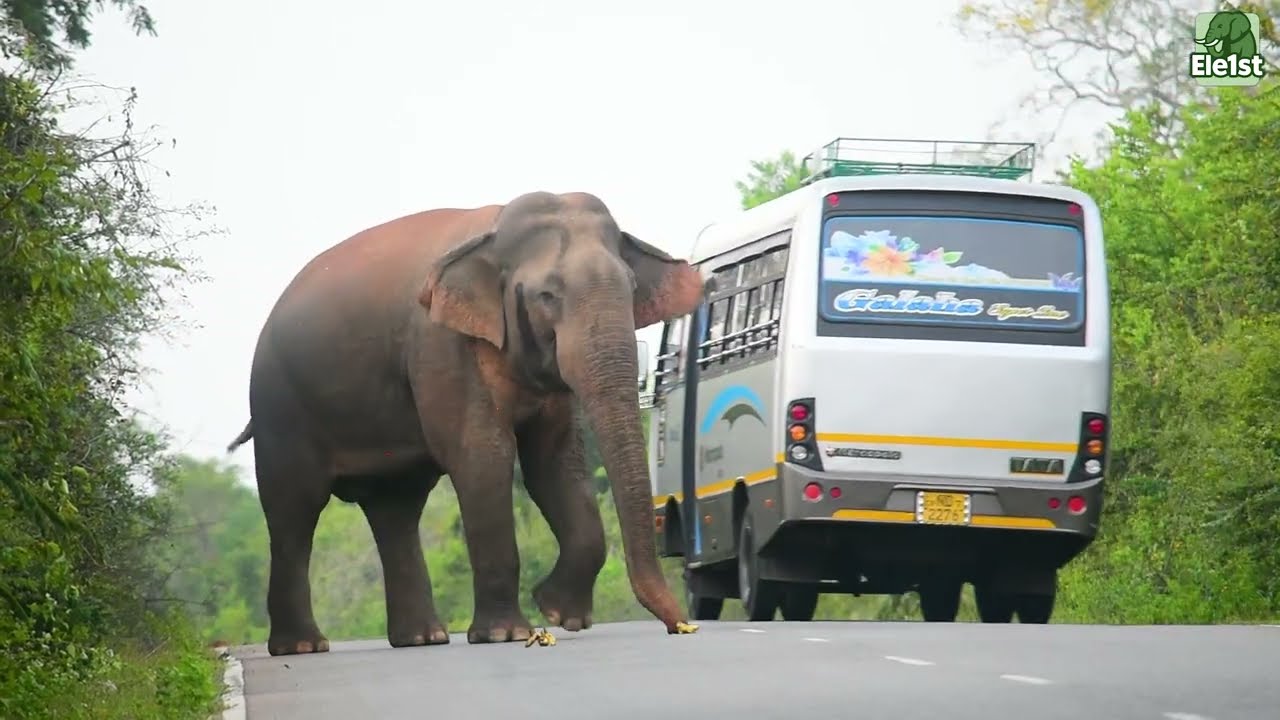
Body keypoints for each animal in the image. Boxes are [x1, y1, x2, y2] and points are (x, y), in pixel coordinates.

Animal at [225, 191, 707, 656]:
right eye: (547, 296)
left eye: (631, 287)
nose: (681, 626)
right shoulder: (444, 346)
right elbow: (483, 456)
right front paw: (507, 634)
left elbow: (552, 462)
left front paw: (558, 614)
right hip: (279, 407)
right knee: (294, 510)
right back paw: (303, 646)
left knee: (395, 507)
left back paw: (422, 639)